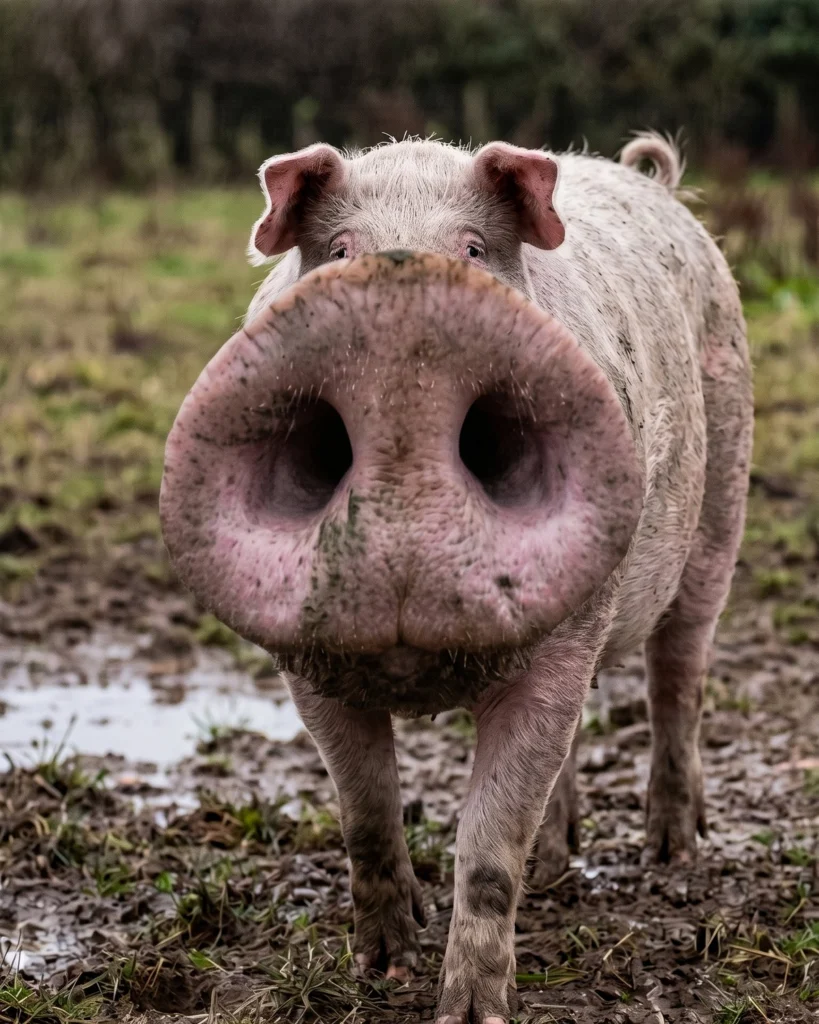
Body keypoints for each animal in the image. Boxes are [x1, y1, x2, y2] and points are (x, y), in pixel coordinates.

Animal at [160, 132, 753, 1023]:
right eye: (340, 250)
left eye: (474, 250)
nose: (401, 325)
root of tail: (652, 181)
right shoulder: (304, 662)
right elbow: (366, 812)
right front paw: (383, 967)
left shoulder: (563, 642)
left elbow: (487, 848)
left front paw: (470, 1012)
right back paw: (557, 865)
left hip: (720, 510)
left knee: (676, 678)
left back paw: (671, 857)